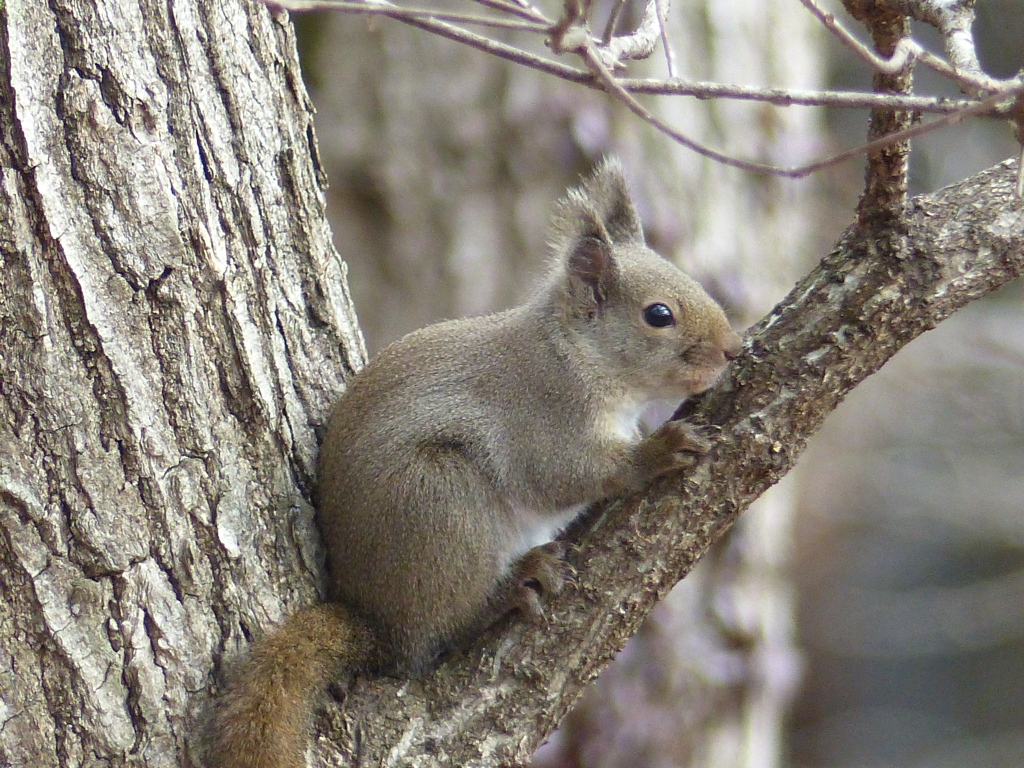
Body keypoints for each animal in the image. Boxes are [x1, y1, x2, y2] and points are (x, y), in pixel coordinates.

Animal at [201, 157, 745, 768]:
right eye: (659, 314)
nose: (732, 348)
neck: (576, 354)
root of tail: (377, 619)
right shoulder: (542, 418)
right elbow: (570, 474)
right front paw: (656, 451)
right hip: (442, 501)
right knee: (440, 631)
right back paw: (508, 591)